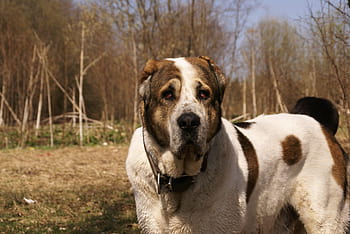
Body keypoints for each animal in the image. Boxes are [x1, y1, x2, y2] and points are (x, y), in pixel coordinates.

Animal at [126, 56, 350, 232]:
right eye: (168, 95)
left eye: (203, 94)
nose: (189, 121)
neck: (180, 181)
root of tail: (316, 121)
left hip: (325, 218)